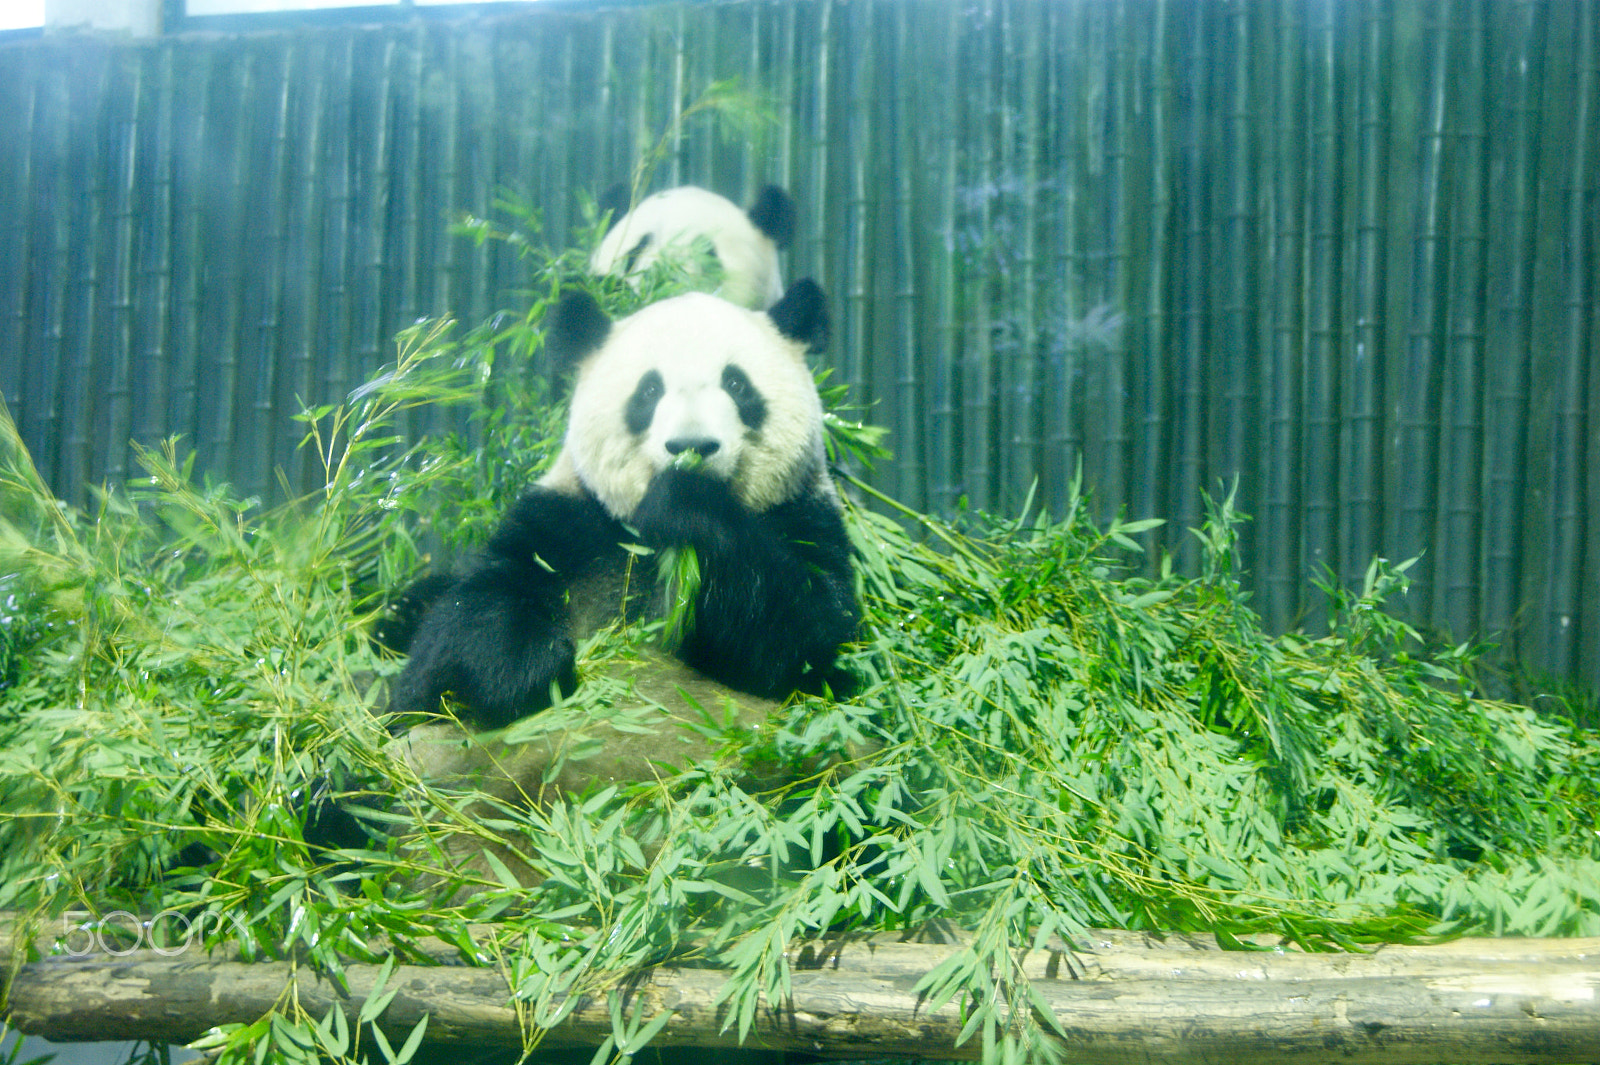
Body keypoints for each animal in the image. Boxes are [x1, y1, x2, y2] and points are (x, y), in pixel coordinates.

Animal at [388, 273, 857, 729]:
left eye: (737, 384)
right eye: (648, 391)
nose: (691, 446)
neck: (642, 539)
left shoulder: (800, 514)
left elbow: (811, 637)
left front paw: (686, 503)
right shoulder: (567, 523)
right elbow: (471, 612)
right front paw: (520, 670)